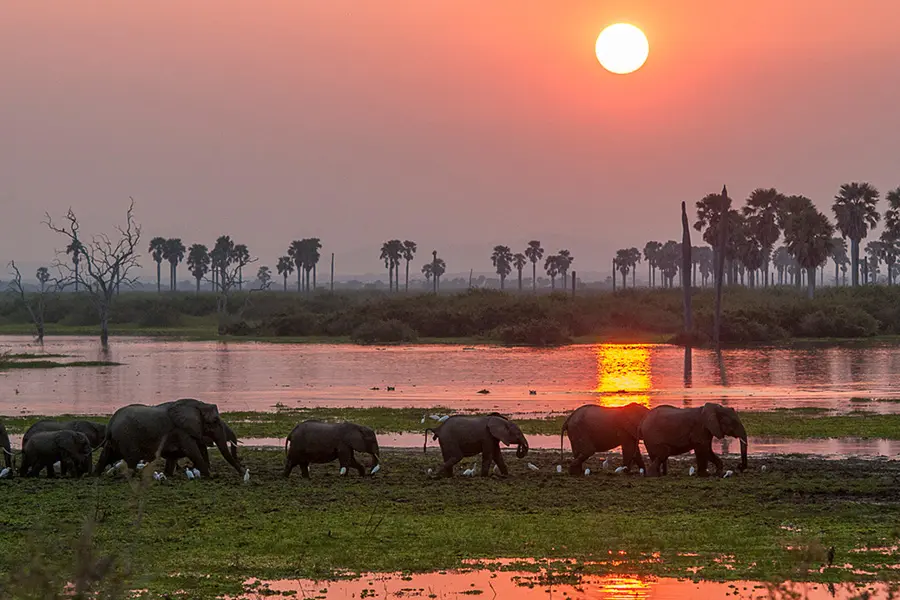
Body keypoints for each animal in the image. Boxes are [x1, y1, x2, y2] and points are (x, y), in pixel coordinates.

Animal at [95, 398, 243, 478]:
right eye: (215, 421)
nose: (242, 472)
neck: (198, 404)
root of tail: (110, 424)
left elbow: (174, 456)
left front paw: (169, 475)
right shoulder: (182, 431)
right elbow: (193, 452)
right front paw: (211, 475)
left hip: (114, 441)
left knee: (105, 456)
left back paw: (93, 475)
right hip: (127, 438)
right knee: (131, 460)